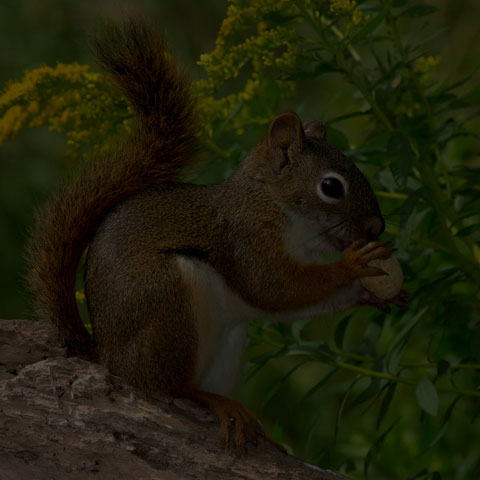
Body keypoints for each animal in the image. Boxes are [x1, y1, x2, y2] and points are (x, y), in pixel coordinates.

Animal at [26, 16, 406, 448]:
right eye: (331, 187)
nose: (377, 226)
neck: (273, 205)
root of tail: (110, 359)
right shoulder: (246, 238)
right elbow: (274, 287)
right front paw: (354, 264)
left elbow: (297, 300)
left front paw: (370, 293)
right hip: (168, 302)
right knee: (169, 386)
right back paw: (213, 401)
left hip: (228, 342)